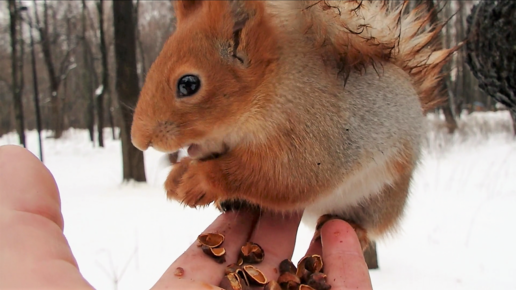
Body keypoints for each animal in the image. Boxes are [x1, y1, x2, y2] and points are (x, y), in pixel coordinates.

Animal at [132, 1, 456, 248]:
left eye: (188, 84)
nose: (139, 140)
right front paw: (177, 177)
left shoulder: (317, 130)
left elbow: (285, 175)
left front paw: (197, 180)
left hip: (381, 199)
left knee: (371, 224)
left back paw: (357, 230)